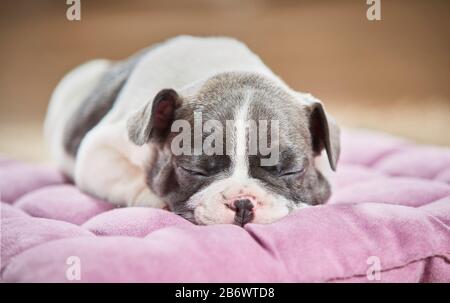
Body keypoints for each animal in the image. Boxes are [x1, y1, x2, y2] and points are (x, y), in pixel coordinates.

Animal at [44, 35, 342, 226]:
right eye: (194, 170)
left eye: (291, 171)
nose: (242, 202)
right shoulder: (99, 151)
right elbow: (130, 180)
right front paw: (156, 199)